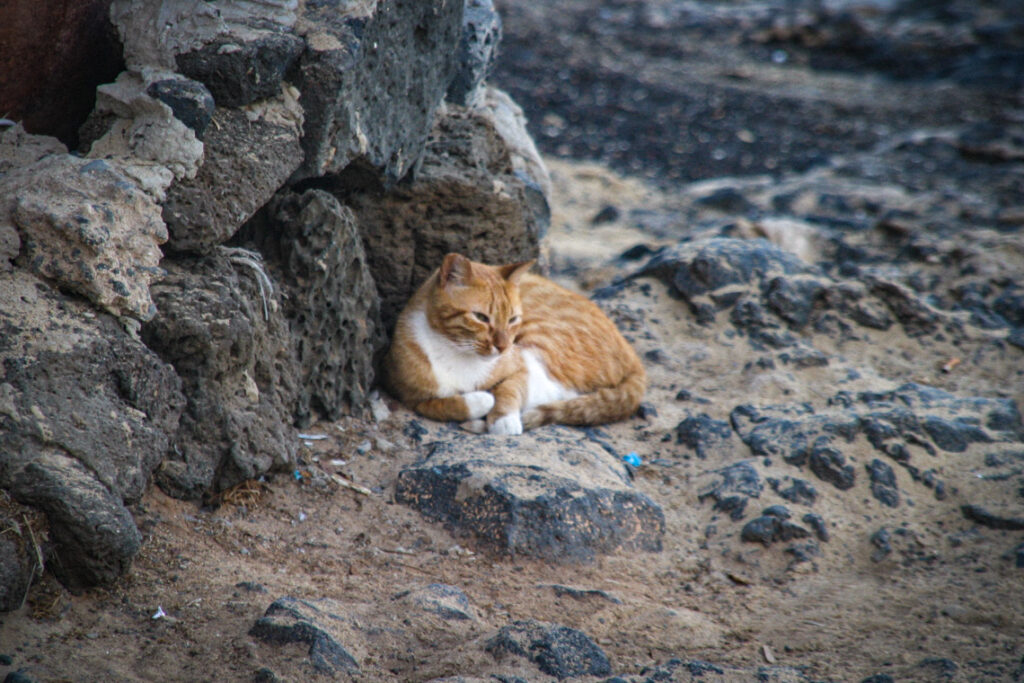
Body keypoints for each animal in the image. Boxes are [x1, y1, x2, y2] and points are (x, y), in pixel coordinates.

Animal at [385, 253, 647, 436]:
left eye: (512, 319)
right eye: (480, 317)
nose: (502, 347)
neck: (456, 352)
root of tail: (635, 359)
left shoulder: (520, 365)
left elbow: (508, 390)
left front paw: (504, 420)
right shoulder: (411, 397)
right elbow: (448, 405)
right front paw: (478, 403)